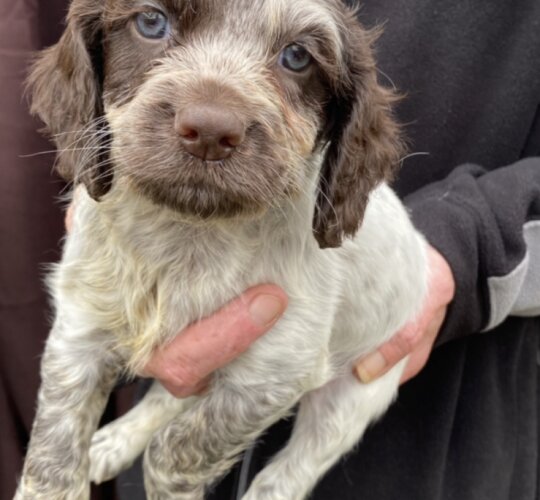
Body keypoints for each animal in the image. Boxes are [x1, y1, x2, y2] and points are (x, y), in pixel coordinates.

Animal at [16, 0, 428, 500]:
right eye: (151, 22)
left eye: (297, 57)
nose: (211, 130)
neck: (184, 235)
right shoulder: (79, 331)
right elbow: (51, 460)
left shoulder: (272, 373)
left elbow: (175, 450)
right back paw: (117, 439)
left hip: (356, 391)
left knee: (289, 472)